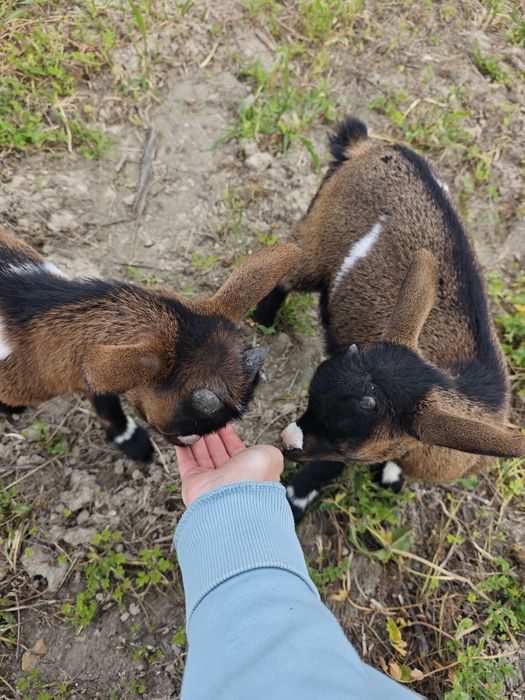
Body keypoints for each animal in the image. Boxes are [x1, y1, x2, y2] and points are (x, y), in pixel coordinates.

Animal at [253, 117, 525, 522]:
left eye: (348, 442)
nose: (286, 440)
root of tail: (368, 146)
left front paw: (391, 477)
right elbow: (327, 467)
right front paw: (295, 499)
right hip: (320, 236)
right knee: (289, 266)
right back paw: (264, 318)